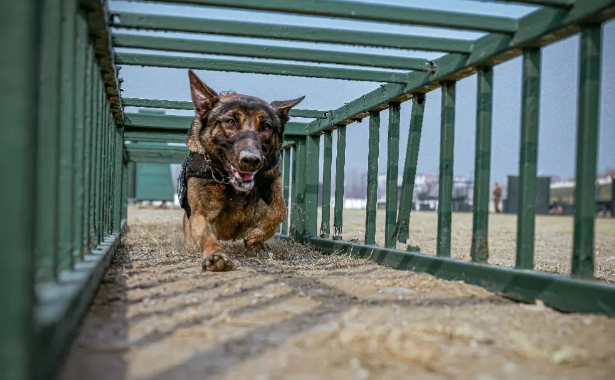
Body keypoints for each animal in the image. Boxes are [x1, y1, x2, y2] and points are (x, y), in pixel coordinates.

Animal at [177, 70, 304, 272]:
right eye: (230, 122)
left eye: (266, 126)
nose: (250, 160)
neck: (227, 180)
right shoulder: (199, 213)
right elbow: (206, 234)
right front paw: (215, 255)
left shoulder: (273, 177)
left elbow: (280, 209)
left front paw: (257, 234)